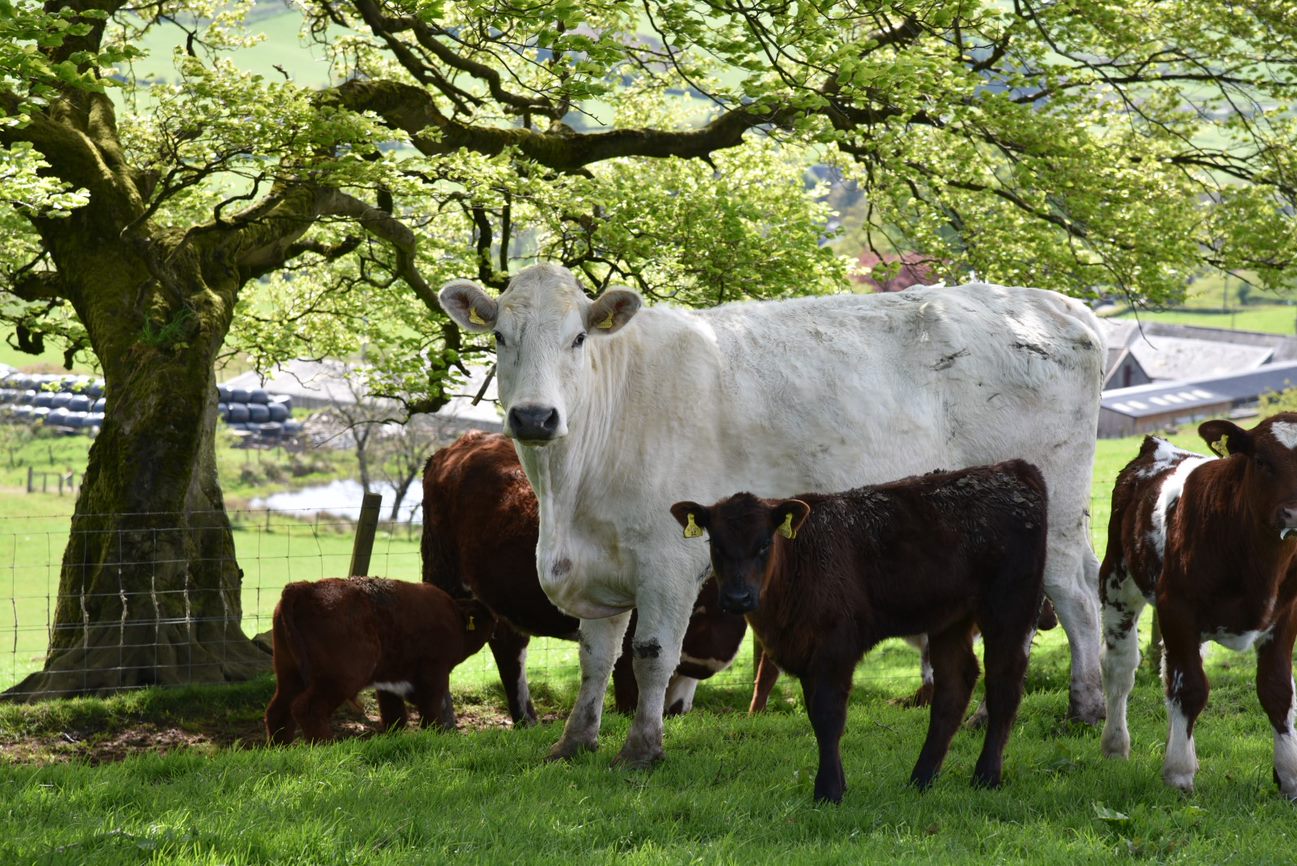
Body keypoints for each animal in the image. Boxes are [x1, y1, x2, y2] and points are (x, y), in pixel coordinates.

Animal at [263, 575, 490, 746]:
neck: (455, 616)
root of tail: (305, 588)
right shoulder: (434, 675)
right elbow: (432, 713)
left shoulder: (390, 683)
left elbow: (395, 717)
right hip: (341, 679)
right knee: (308, 709)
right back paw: (327, 747)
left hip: (289, 674)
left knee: (278, 711)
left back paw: (281, 749)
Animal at [674, 458, 1047, 803]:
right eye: (716, 544)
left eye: (765, 543)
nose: (738, 597)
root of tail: (1012, 468)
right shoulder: (805, 650)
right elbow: (817, 716)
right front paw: (837, 785)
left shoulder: (835, 645)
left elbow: (829, 715)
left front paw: (828, 791)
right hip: (950, 619)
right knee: (955, 685)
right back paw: (922, 778)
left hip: (1010, 606)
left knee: (1004, 684)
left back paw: (986, 776)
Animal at [1099, 412, 1297, 798]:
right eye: (1261, 460)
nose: (1294, 513)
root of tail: (1159, 446)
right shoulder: (1177, 608)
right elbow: (1189, 688)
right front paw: (1179, 772)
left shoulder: (1285, 615)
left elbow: (1277, 689)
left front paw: (1289, 775)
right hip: (1117, 581)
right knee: (1121, 670)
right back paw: (1115, 745)